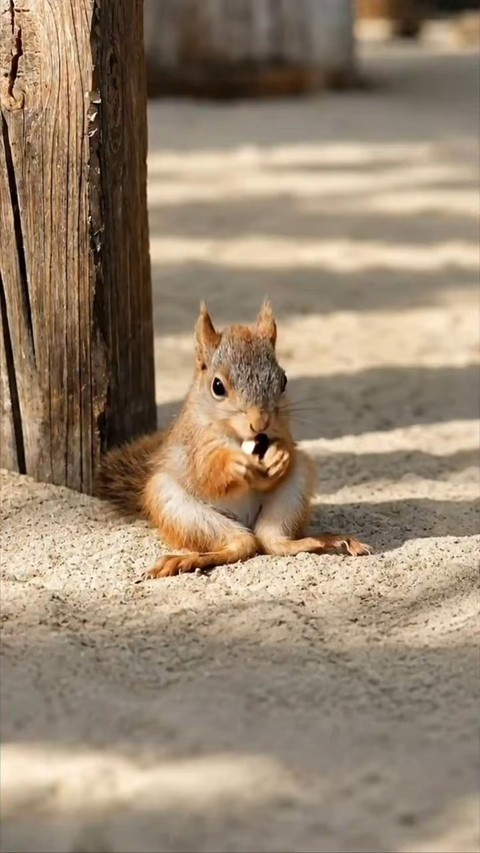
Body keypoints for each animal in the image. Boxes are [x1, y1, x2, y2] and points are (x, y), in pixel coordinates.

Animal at [96, 300, 371, 579]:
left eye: (283, 380)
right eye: (217, 386)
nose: (260, 423)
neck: (239, 438)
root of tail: (244, 518)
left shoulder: (282, 428)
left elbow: (286, 450)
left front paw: (280, 455)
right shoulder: (195, 444)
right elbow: (206, 471)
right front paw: (234, 464)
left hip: (293, 489)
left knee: (270, 541)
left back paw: (325, 541)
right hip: (175, 503)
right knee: (241, 544)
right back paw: (184, 560)